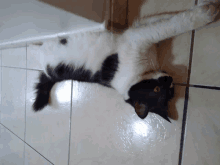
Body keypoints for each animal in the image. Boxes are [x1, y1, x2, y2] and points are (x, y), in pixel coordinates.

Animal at [31, 1, 220, 122]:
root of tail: (47, 72)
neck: (141, 73)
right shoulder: (139, 37)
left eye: (170, 92)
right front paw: (206, 13)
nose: (170, 79)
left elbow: (161, 18)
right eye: (157, 90)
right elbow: (173, 25)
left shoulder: (138, 31)